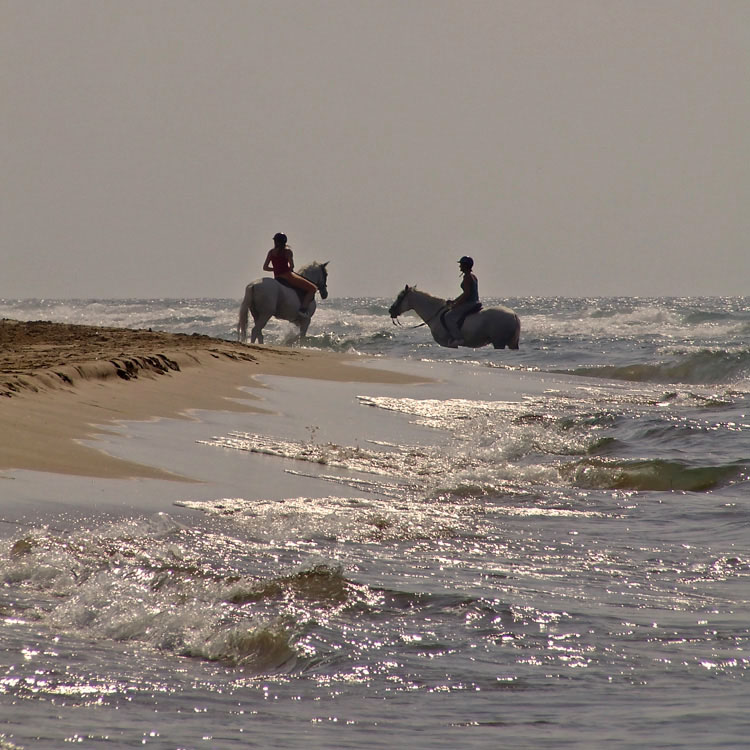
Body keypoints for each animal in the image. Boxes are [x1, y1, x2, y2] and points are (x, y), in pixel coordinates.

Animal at [390, 286, 520, 352]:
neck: (435, 314)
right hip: (511, 342)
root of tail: (513, 314)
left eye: (400, 297)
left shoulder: (447, 344)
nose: (391, 311)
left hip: (499, 342)